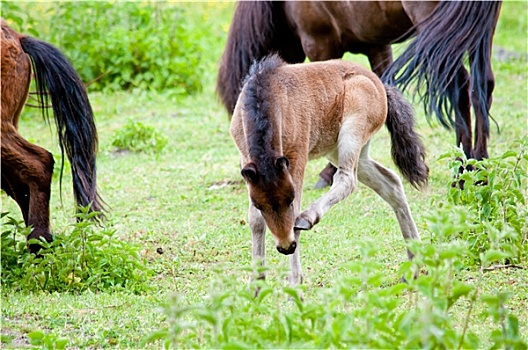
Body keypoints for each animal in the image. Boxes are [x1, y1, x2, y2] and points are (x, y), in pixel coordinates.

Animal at [219, 1, 504, 187]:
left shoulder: (319, 42)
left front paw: (328, 172)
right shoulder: (376, 44)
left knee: (461, 87)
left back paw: (462, 171)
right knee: (482, 86)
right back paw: (479, 167)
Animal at [231, 55, 428, 288]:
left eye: (289, 199)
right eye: (260, 204)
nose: (286, 247)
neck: (269, 95)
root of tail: (380, 85)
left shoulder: (297, 159)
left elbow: (294, 215)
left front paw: (295, 282)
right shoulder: (247, 163)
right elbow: (255, 221)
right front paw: (256, 284)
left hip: (351, 135)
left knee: (347, 179)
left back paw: (308, 217)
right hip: (344, 151)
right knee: (391, 184)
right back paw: (413, 267)